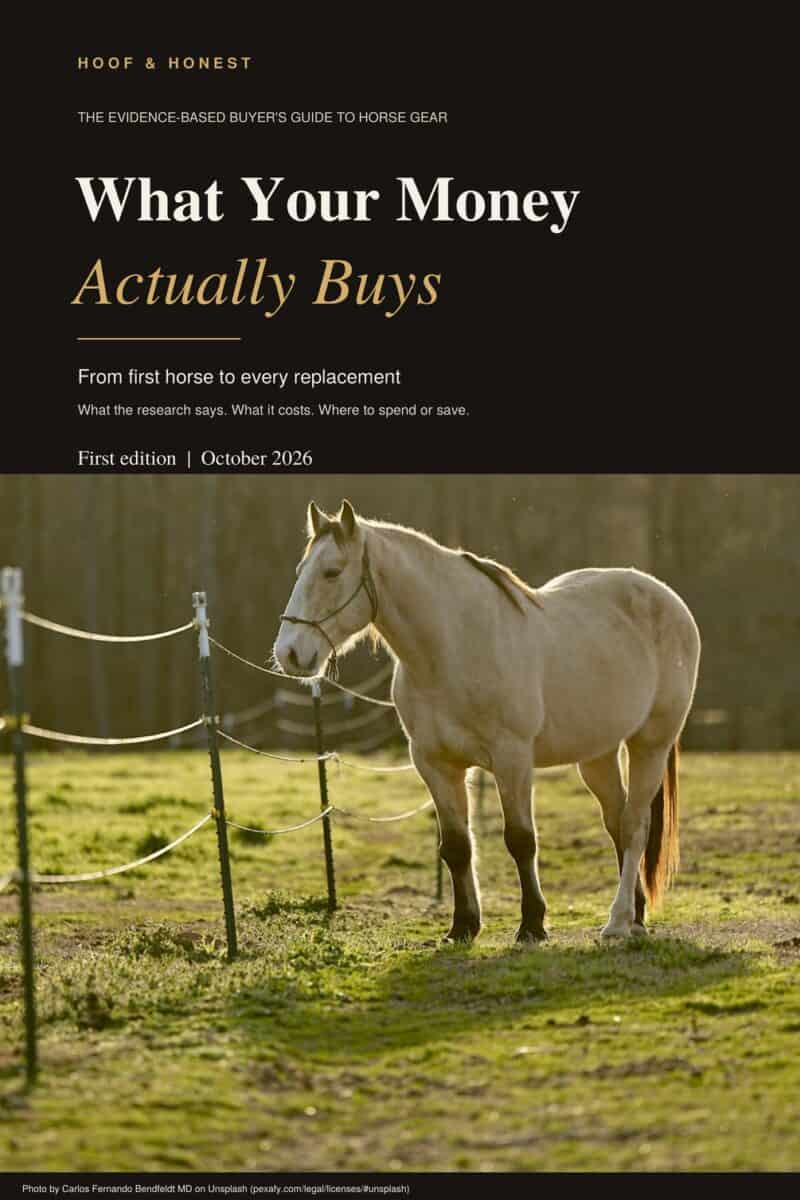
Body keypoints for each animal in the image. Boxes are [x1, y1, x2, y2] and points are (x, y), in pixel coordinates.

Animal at [273, 500, 701, 942]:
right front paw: (463, 925)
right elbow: (456, 846)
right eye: (301, 570)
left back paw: (617, 921)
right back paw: (635, 914)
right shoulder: (435, 765)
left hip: (650, 744)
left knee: (634, 825)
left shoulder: (512, 761)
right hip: (597, 755)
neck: (453, 650)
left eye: (332, 572)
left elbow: (520, 840)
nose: (290, 653)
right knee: (617, 823)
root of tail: (666, 598)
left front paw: (532, 924)